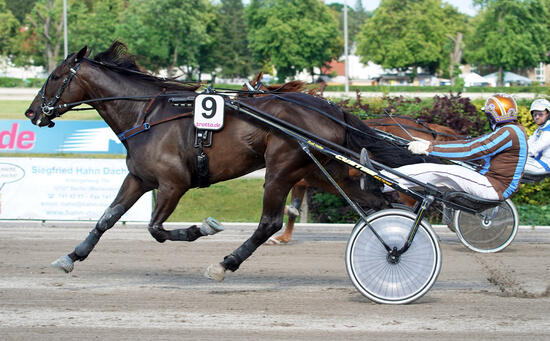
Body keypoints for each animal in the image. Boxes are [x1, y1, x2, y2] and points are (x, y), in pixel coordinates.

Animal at [24, 41, 432, 282]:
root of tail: (331, 108)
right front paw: (71, 256)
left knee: (269, 223)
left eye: (55, 76)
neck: (146, 113)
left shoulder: (173, 184)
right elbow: (106, 218)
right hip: (323, 171)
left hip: (282, 168)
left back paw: (225, 264)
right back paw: (395, 248)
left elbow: (156, 230)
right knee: (379, 202)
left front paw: (203, 228)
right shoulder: (139, 179)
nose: (31, 112)